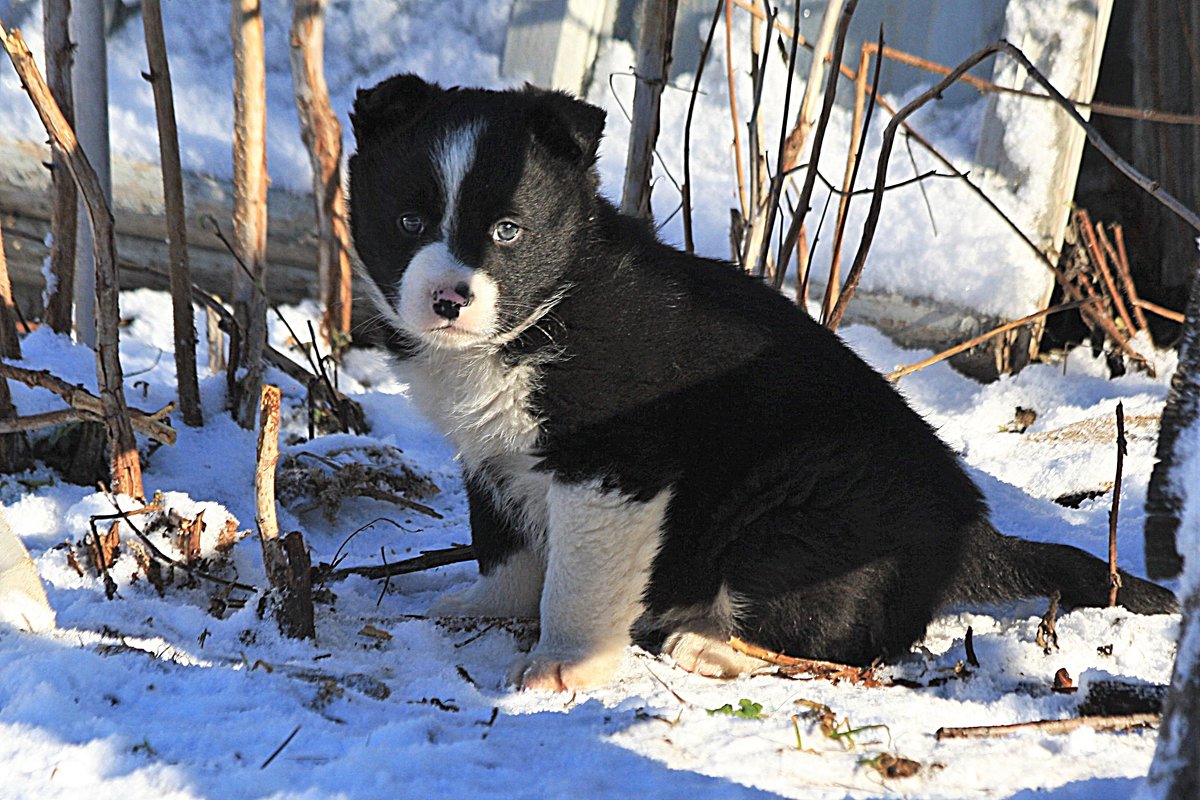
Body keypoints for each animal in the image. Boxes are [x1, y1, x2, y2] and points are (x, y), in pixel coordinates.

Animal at [345, 71, 1171, 690]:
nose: (448, 299)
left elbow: (577, 577)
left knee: (840, 640)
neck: (547, 312)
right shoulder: (490, 453)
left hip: (802, 513)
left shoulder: (614, 464)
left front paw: (564, 664)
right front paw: (483, 606)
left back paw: (707, 643)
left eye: (507, 231)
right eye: (410, 221)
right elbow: (507, 545)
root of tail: (971, 536)